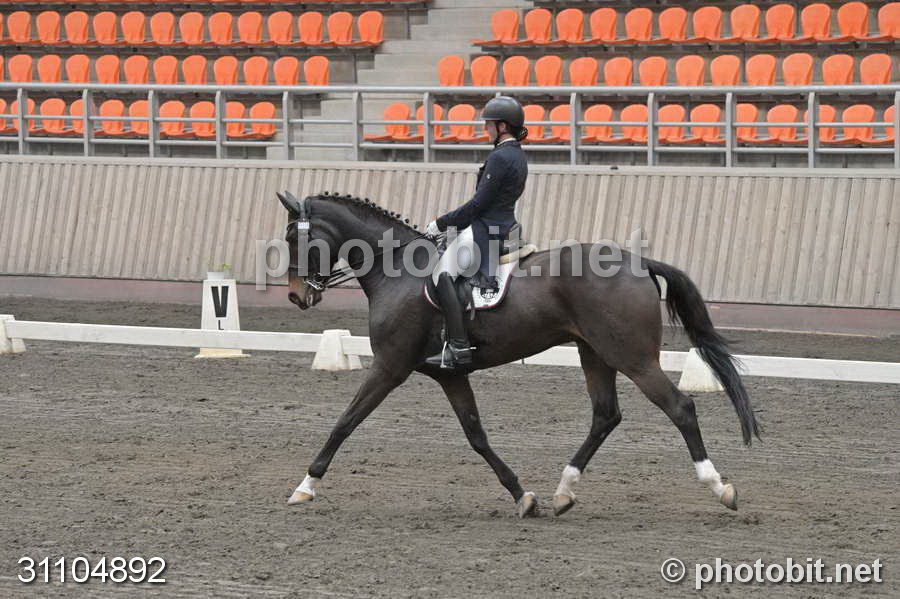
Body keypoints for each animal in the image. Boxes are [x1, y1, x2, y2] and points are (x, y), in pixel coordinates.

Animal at [277, 191, 759, 518]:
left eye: (294, 240)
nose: (297, 296)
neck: (397, 269)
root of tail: (638, 262)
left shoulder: (389, 366)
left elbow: (344, 422)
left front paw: (305, 486)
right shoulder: (449, 374)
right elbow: (476, 435)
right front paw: (523, 496)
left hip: (633, 357)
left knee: (680, 407)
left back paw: (720, 487)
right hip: (595, 352)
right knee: (606, 415)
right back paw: (563, 491)